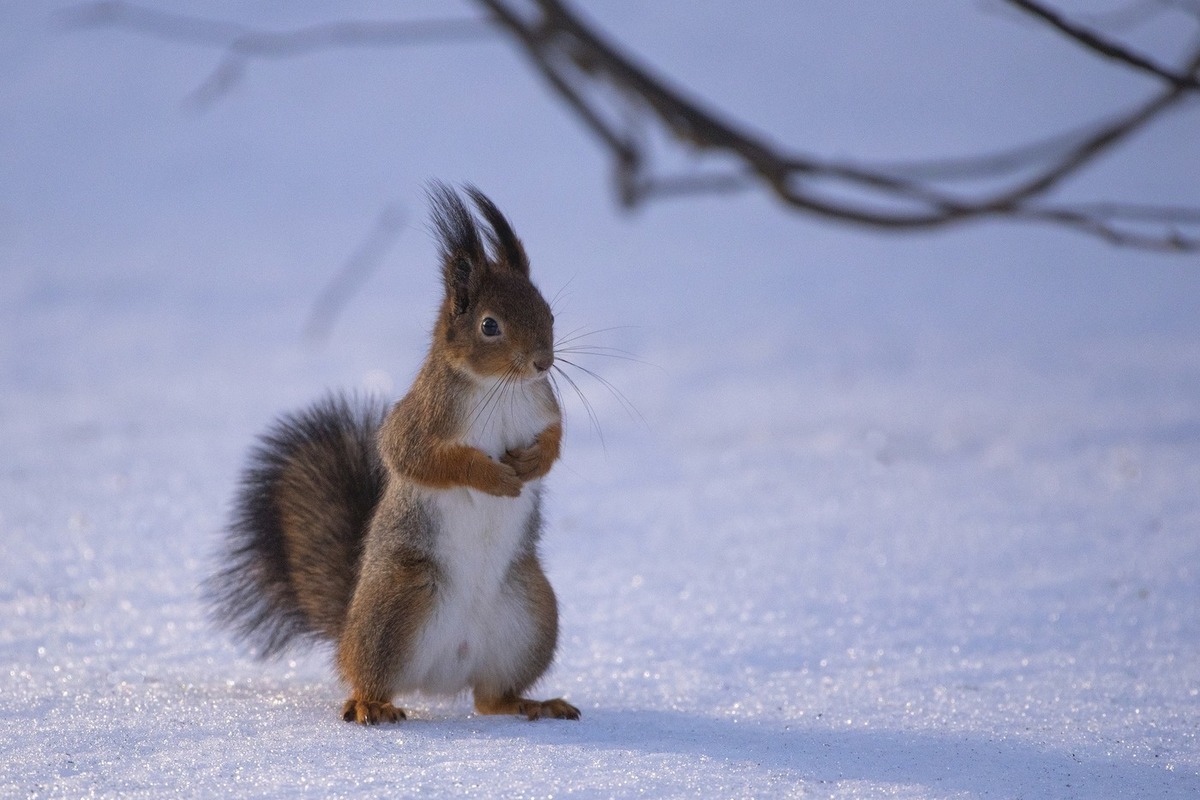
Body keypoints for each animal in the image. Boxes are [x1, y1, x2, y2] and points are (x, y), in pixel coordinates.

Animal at [208, 183, 583, 724]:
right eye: (490, 326)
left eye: (548, 311)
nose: (542, 362)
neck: (501, 388)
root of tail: (443, 674)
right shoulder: (420, 420)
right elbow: (419, 459)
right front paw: (492, 477)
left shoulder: (543, 408)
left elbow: (553, 442)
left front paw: (531, 464)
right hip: (397, 603)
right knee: (367, 675)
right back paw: (370, 705)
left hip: (531, 613)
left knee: (490, 698)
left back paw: (531, 703)